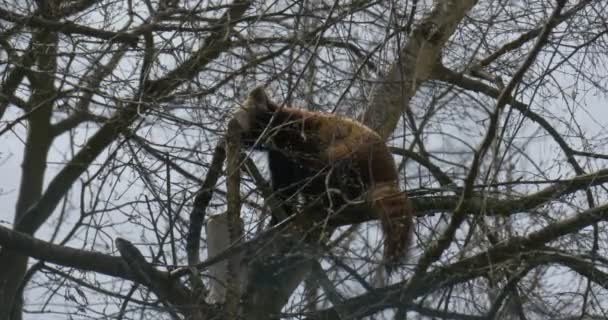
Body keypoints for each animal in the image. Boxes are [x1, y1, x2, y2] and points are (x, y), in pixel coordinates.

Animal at [233, 85, 414, 270]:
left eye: (238, 119)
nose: (231, 129)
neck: (278, 128)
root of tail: (389, 173)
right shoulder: (279, 156)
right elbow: (285, 188)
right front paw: (278, 217)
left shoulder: (298, 138)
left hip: (354, 152)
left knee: (330, 167)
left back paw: (328, 198)